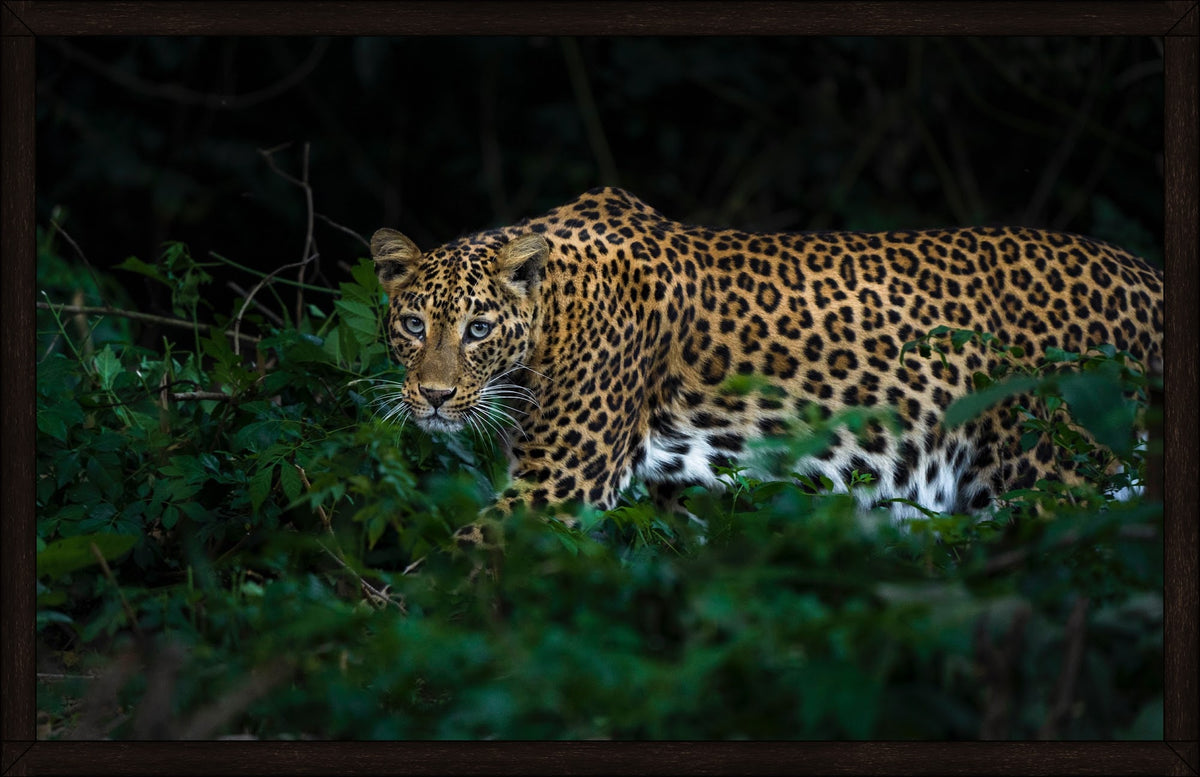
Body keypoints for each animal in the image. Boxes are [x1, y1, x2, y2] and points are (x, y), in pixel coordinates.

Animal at [369, 187, 1162, 541]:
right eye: (413, 324)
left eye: (477, 329)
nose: (432, 396)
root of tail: (1146, 275)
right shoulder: (673, 496)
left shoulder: (559, 488)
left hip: (1050, 483)